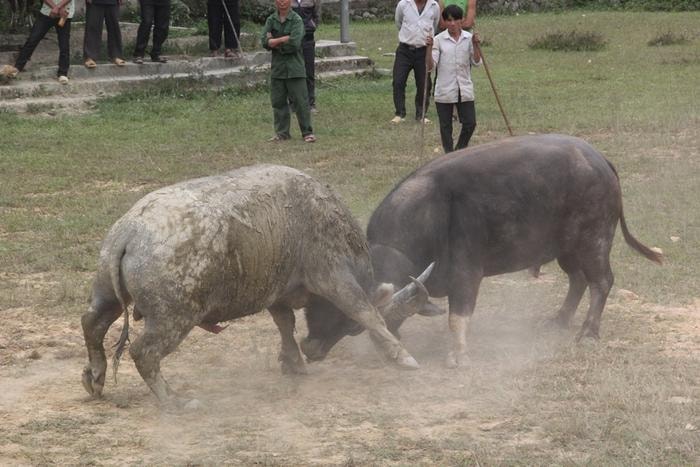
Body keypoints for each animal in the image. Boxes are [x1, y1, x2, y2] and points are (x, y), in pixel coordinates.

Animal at [80, 165, 426, 406]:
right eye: (350, 330)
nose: (313, 352)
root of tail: (131, 230)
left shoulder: (279, 293)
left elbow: (285, 323)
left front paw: (293, 362)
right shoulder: (334, 278)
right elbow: (366, 312)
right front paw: (403, 356)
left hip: (106, 295)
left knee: (92, 324)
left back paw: (95, 377)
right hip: (174, 317)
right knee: (144, 352)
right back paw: (173, 400)